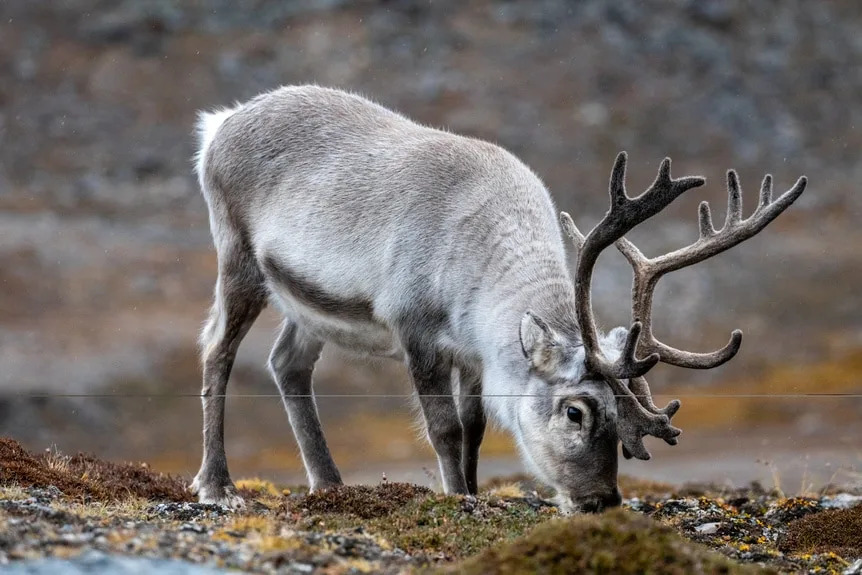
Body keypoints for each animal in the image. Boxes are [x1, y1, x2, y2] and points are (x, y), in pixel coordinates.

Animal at [191, 85, 806, 513]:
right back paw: (217, 485)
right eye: (576, 410)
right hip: (238, 258)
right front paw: (457, 496)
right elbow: (444, 428)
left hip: (306, 304)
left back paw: (331, 485)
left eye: (625, 419)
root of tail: (219, 124)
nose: (601, 501)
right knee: (217, 352)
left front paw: (473, 488)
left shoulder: (472, 354)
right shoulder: (416, 331)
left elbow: (475, 425)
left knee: (287, 364)